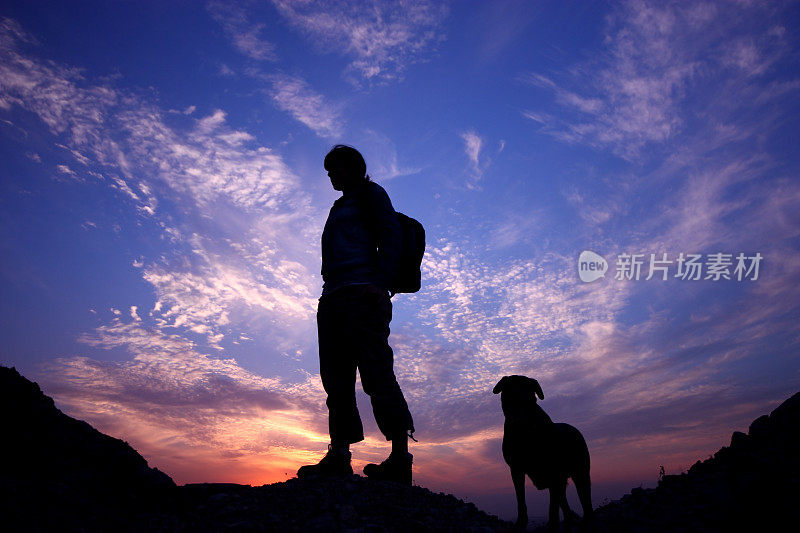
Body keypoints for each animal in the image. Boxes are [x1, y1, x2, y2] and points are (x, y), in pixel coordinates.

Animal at [490, 376, 592, 528]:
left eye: (530, 395)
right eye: (510, 393)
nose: (520, 412)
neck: (525, 431)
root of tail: (575, 430)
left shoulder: (554, 472)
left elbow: (553, 507)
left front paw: (552, 524)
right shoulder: (516, 470)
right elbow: (521, 499)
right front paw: (521, 522)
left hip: (580, 472)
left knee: (584, 498)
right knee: (563, 500)